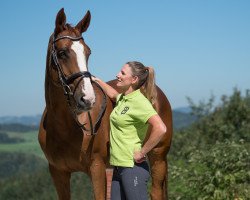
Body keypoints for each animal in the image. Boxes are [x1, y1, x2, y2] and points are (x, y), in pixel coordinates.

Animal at [38, 8, 172, 200]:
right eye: (62, 52)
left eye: (88, 52)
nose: (87, 99)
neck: (66, 127)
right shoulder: (58, 173)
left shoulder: (97, 168)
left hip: (158, 156)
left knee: (156, 192)